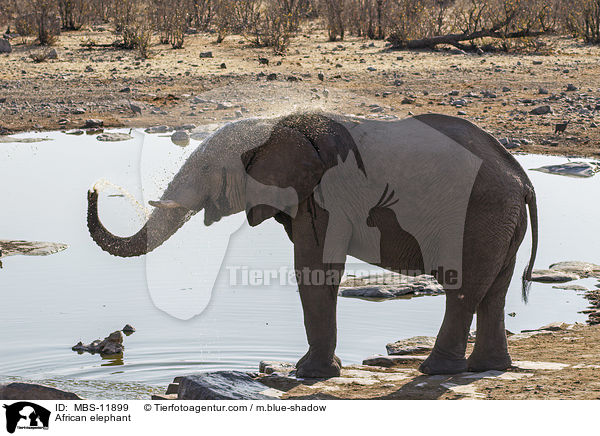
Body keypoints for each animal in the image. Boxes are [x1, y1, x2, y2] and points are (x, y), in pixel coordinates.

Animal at [85, 113, 540, 378]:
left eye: (209, 168)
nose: (93, 189)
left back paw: (435, 371)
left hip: (477, 213)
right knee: (494, 290)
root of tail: (522, 179)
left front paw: (307, 375)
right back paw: (487, 367)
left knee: (463, 287)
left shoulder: (327, 198)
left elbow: (315, 267)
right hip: (499, 218)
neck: (279, 126)